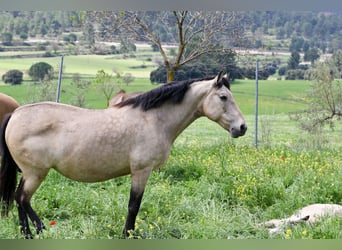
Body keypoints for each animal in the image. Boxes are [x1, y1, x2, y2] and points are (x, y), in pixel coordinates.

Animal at [0, 72, 246, 238]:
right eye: (223, 97)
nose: (241, 127)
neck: (153, 120)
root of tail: (15, 114)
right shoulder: (141, 171)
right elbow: (133, 205)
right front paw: (128, 234)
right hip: (35, 173)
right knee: (22, 198)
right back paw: (37, 230)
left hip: (31, 173)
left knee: (19, 198)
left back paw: (30, 232)